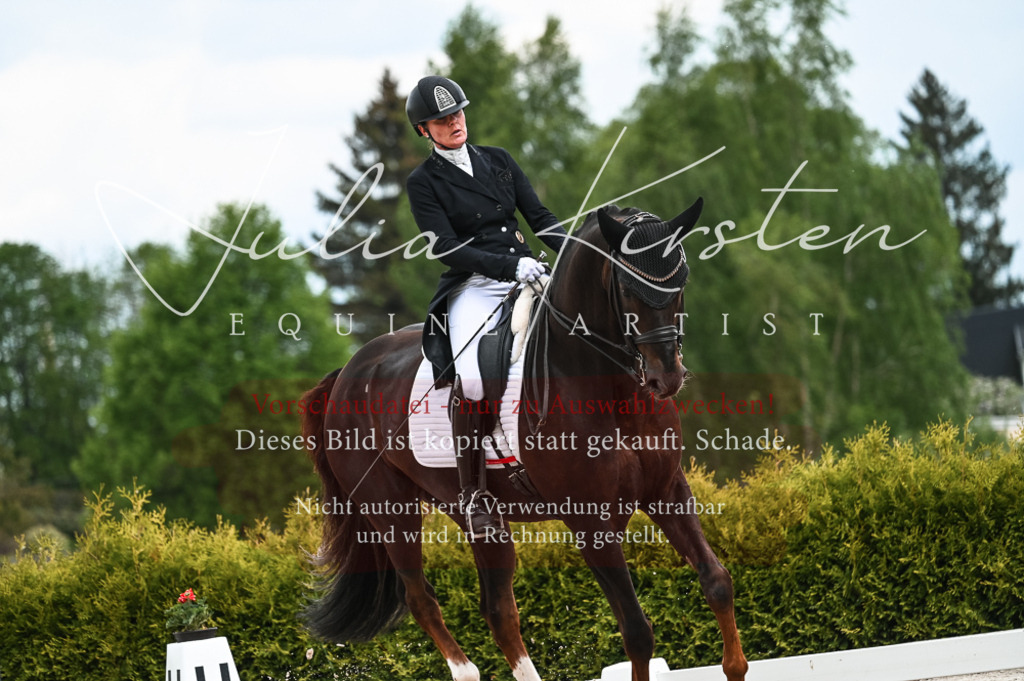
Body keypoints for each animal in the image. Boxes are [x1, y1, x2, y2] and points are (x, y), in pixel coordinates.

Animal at [299, 200, 749, 681]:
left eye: (680, 283)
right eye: (628, 289)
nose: (666, 378)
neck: (608, 388)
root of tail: (348, 372)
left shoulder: (667, 491)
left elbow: (717, 582)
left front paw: (735, 666)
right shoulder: (590, 523)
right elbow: (636, 629)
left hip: (475, 517)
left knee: (498, 610)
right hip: (390, 511)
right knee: (421, 600)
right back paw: (465, 671)